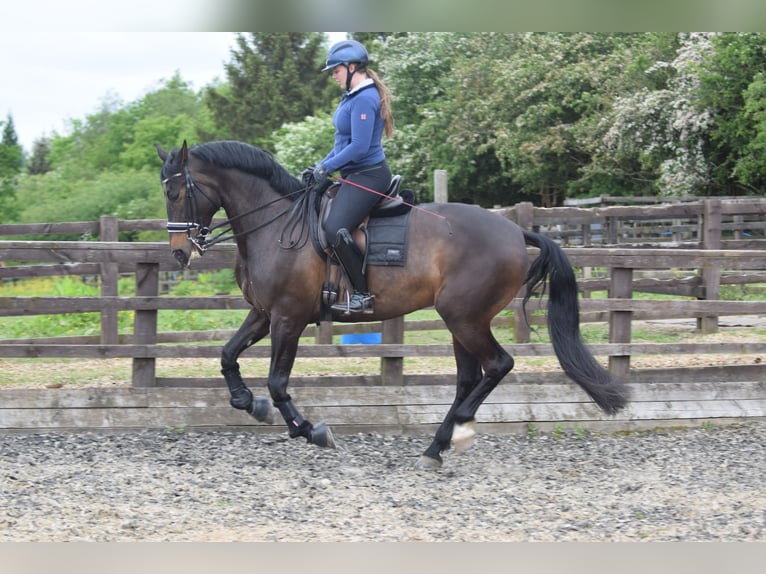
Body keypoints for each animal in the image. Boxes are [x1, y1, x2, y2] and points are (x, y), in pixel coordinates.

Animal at [154, 142, 632, 470]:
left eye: (177, 192)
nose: (178, 253)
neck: (275, 226)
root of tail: (516, 232)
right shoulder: (264, 313)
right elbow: (227, 355)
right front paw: (246, 403)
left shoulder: (288, 317)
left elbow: (277, 382)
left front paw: (311, 431)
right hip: (462, 322)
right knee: (469, 377)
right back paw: (438, 445)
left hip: (464, 317)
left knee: (498, 365)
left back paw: (455, 434)